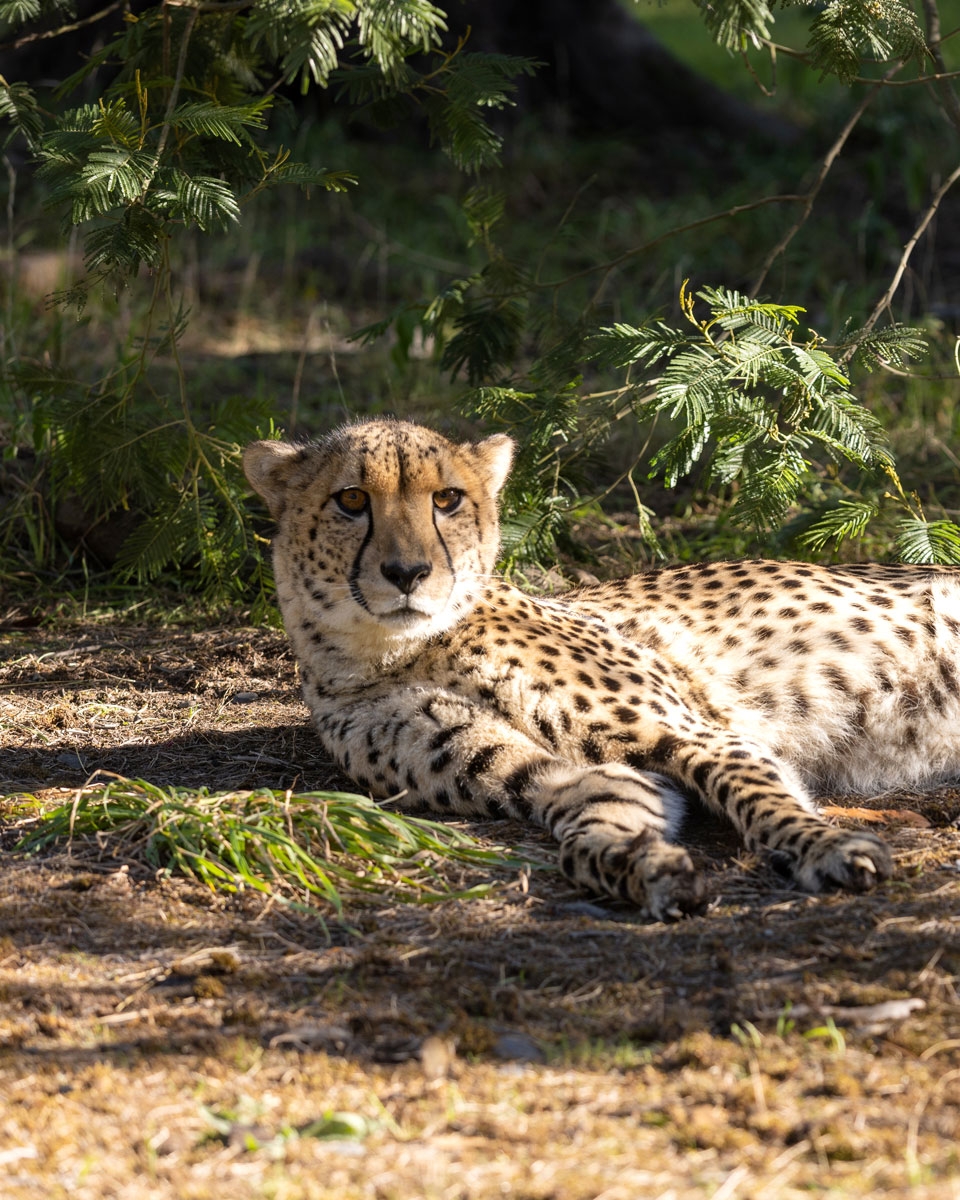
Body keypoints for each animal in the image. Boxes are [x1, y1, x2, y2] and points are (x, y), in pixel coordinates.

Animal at [243, 417, 960, 921]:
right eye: (351, 499)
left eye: (446, 499)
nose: (407, 572)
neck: (392, 652)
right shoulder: (569, 778)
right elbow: (589, 832)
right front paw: (647, 870)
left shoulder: (699, 734)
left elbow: (759, 797)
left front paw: (824, 847)